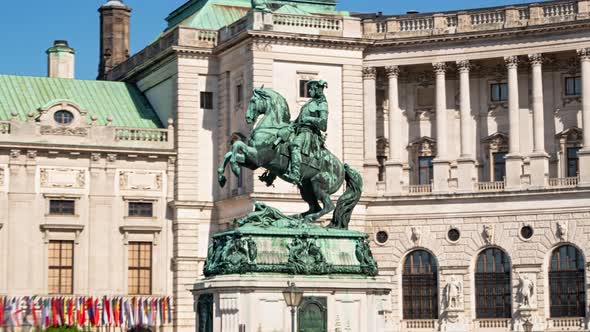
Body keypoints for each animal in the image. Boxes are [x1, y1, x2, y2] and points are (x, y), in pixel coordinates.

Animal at [219, 87, 364, 228]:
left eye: (253, 101)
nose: (248, 118)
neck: (271, 129)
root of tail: (342, 167)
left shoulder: (257, 158)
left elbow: (236, 146)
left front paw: (235, 168)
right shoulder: (252, 162)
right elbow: (229, 153)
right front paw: (221, 177)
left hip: (318, 185)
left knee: (328, 206)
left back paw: (305, 219)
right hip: (306, 188)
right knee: (314, 207)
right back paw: (294, 218)